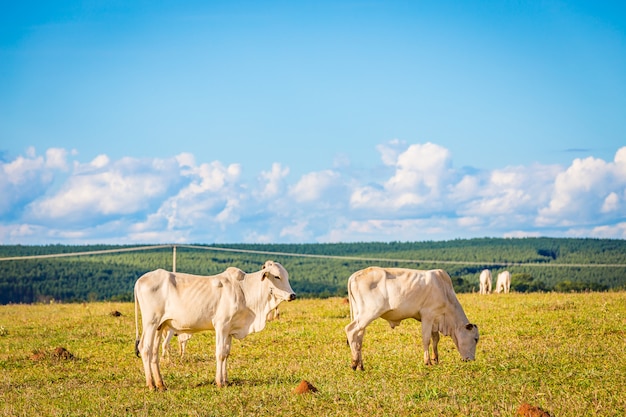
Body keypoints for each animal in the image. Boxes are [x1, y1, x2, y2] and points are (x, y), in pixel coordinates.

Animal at [133, 260, 294, 390]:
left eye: (286, 276)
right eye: (277, 276)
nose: (293, 295)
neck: (244, 291)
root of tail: (140, 280)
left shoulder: (229, 330)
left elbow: (227, 353)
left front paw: (226, 380)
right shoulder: (221, 326)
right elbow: (220, 353)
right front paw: (219, 382)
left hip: (160, 326)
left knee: (154, 352)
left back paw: (161, 384)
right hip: (150, 322)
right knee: (145, 348)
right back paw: (151, 385)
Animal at [344, 266, 480, 370]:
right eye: (475, 339)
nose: (472, 360)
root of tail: (355, 275)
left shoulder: (435, 320)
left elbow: (435, 339)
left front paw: (435, 359)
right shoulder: (427, 315)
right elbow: (426, 339)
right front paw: (427, 361)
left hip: (359, 314)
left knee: (359, 338)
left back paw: (360, 365)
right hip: (369, 313)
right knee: (350, 330)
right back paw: (354, 363)